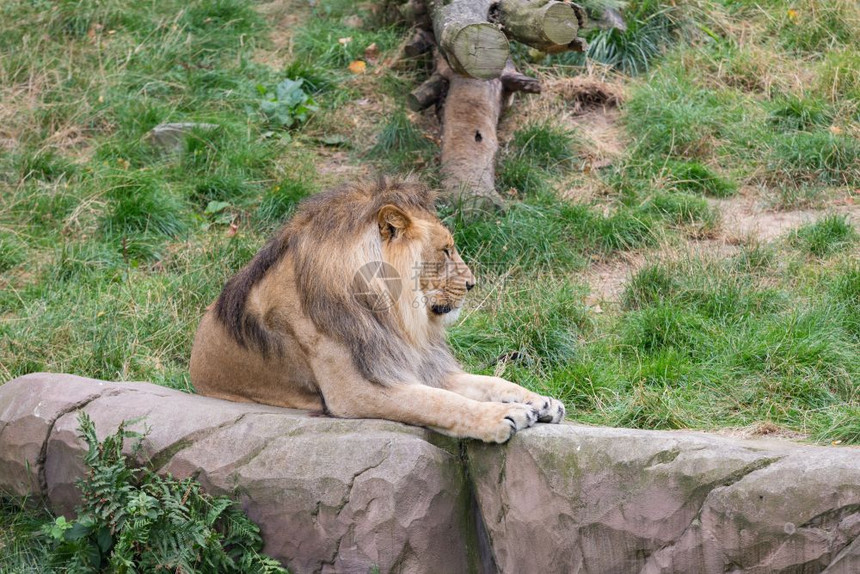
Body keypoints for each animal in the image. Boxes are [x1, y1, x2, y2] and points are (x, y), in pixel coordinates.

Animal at [189, 178, 564, 444]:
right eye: (445, 250)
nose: (472, 284)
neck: (395, 317)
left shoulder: (415, 364)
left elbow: (489, 381)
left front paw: (541, 402)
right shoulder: (355, 392)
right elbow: (438, 402)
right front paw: (502, 417)